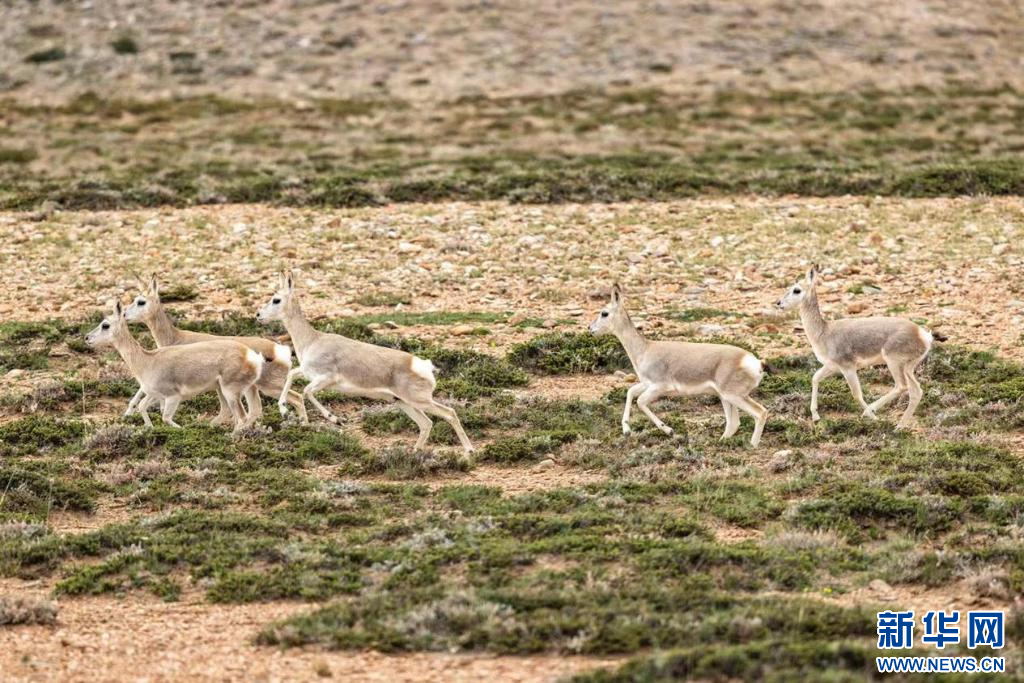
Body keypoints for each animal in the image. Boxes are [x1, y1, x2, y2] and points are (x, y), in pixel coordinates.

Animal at [85, 300, 264, 433]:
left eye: (105, 325)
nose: (87, 338)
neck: (147, 360)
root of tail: (250, 355)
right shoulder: (154, 395)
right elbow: (142, 407)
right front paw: (150, 429)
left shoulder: (173, 397)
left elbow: (165, 418)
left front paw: (185, 431)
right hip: (226, 390)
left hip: (230, 392)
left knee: (242, 417)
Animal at [123, 274, 307, 425]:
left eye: (141, 301)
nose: (124, 315)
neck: (176, 337)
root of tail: (279, 349)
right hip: (252, 388)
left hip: (268, 387)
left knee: (296, 398)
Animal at [256, 271, 475, 453]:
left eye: (276, 299)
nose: (258, 315)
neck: (313, 340)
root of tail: (423, 365)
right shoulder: (308, 373)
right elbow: (292, 376)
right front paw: (283, 408)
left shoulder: (325, 379)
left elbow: (306, 391)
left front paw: (335, 419)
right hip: (404, 403)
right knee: (426, 424)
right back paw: (415, 454)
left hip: (419, 401)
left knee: (449, 413)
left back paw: (469, 451)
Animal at [589, 283, 769, 447]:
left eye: (604, 313)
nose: (590, 328)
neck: (646, 349)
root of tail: (755, 362)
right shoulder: (647, 384)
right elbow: (630, 392)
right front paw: (626, 430)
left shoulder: (659, 387)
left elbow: (640, 401)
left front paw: (669, 430)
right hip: (726, 397)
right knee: (734, 423)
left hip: (734, 396)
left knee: (760, 413)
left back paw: (752, 445)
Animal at [776, 264, 938, 429]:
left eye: (796, 290)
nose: (778, 303)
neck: (824, 332)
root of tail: (922, 334)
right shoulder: (831, 367)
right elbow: (815, 378)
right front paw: (815, 416)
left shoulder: (848, 368)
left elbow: (856, 394)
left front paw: (874, 418)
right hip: (908, 368)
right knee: (916, 391)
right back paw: (899, 427)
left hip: (894, 363)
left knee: (901, 386)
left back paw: (872, 412)